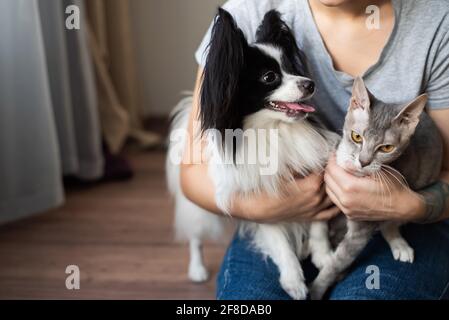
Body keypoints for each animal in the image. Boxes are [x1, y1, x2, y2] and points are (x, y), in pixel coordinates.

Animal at [308, 77, 440, 300]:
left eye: (386, 148)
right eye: (356, 137)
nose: (363, 162)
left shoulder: (360, 231)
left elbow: (337, 262)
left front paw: (316, 289)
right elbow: (318, 222)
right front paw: (321, 249)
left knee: (390, 222)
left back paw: (398, 243)